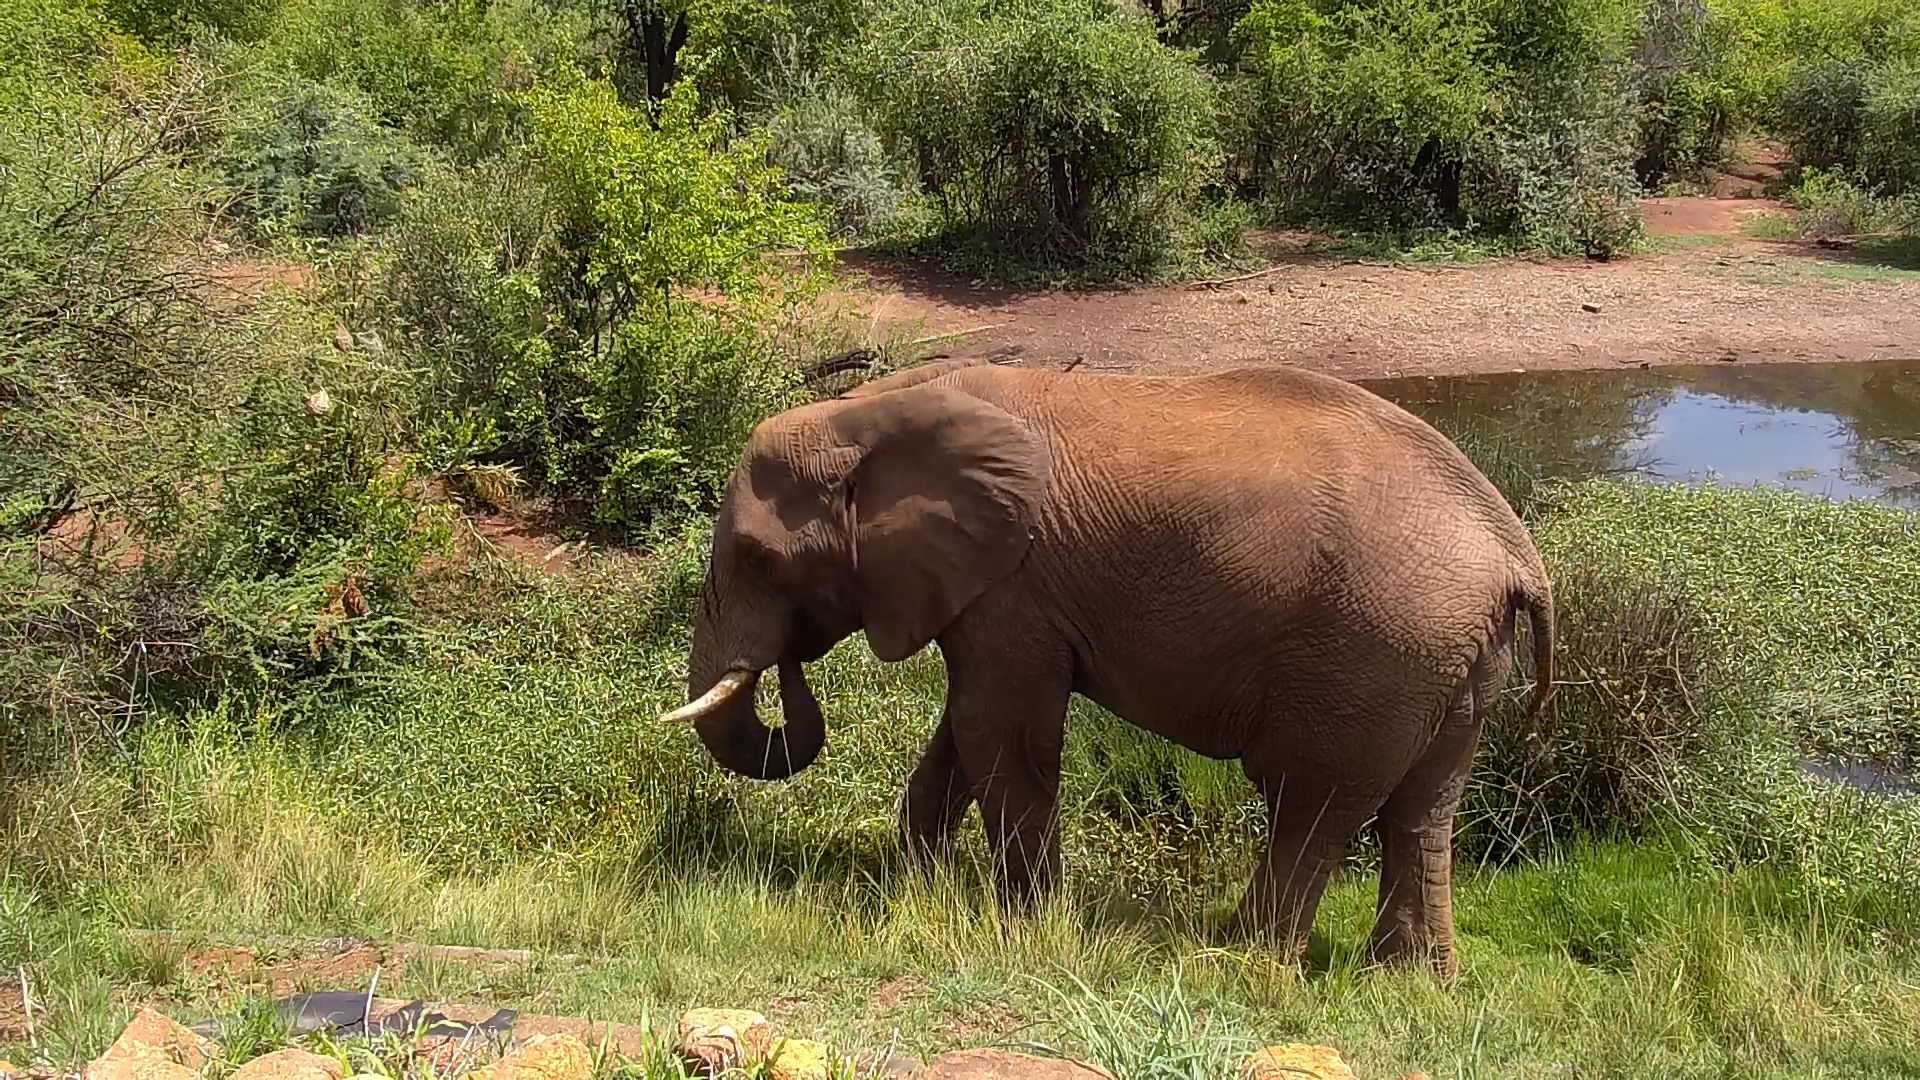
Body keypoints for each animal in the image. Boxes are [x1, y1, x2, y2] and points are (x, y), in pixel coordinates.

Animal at [659, 358, 1553, 977]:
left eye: (757, 559)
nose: (785, 662)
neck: (867, 411)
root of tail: (1516, 554)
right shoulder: (985, 589)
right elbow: (964, 733)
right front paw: (910, 891)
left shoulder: (1011, 582)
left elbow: (998, 731)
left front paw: (1022, 926)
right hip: (1451, 661)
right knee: (1423, 808)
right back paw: (1409, 981)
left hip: (1377, 650)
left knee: (1311, 803)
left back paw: (1235, 961)